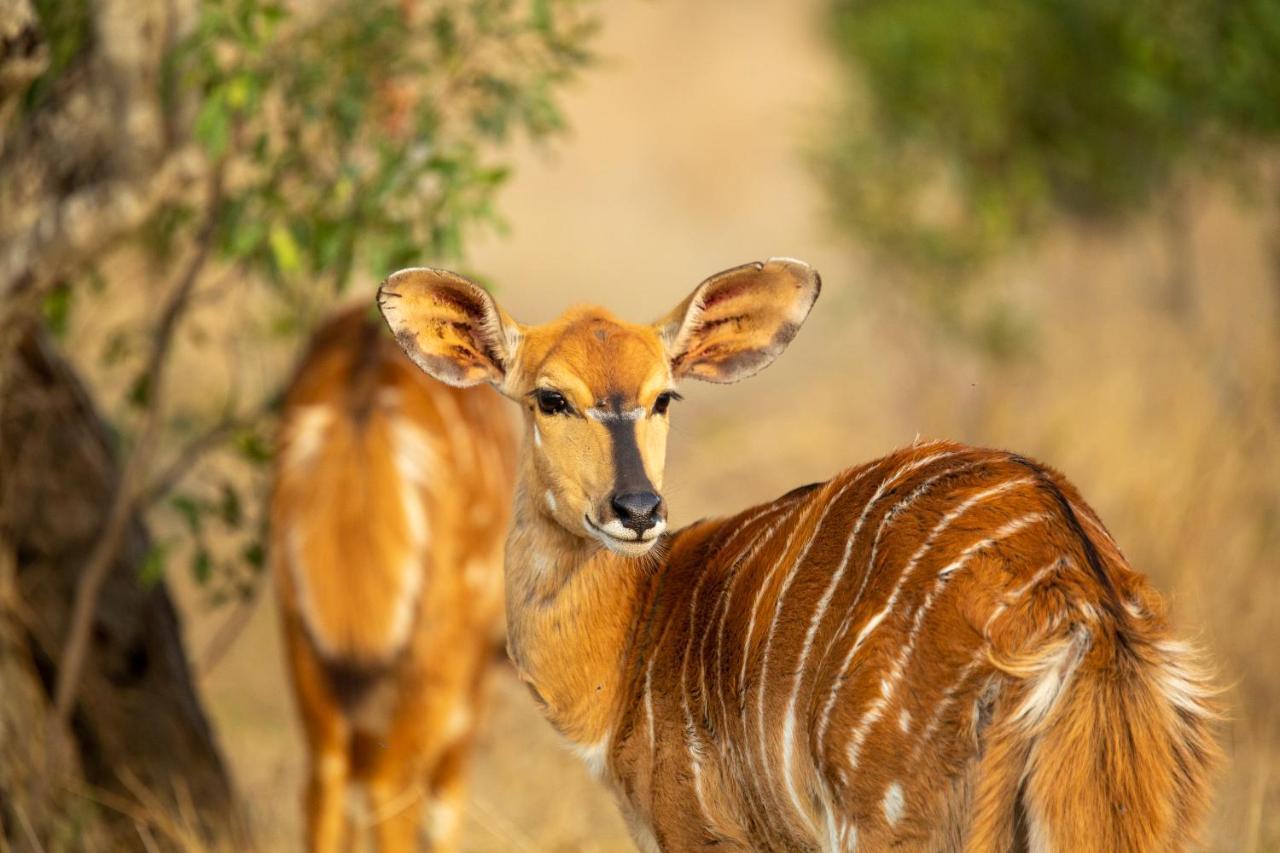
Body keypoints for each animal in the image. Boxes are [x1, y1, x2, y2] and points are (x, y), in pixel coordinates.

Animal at [378, 261, 1218, 850]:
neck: (633, 641)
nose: (638, 509)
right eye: (549, 398)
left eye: (664, 396)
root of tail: (1084, 601)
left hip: (902, 819)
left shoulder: (701, 832)